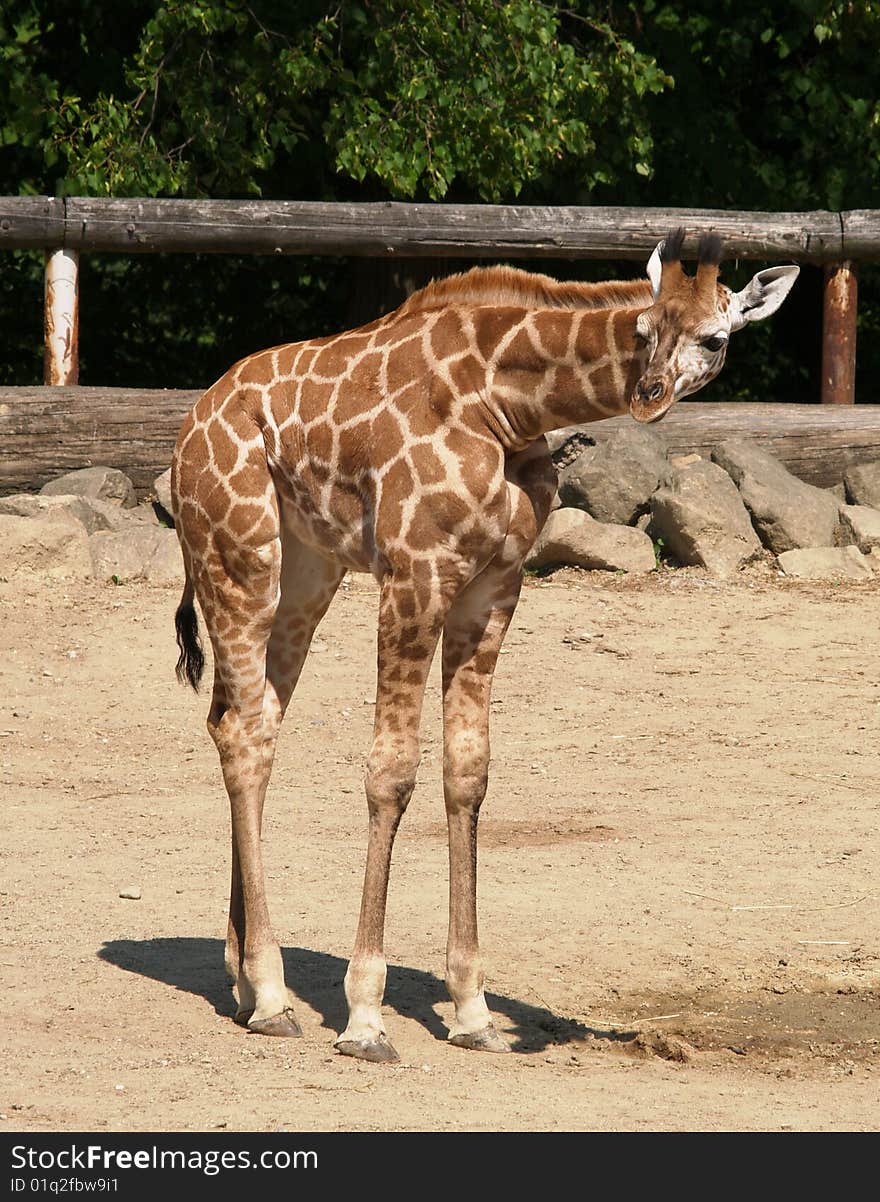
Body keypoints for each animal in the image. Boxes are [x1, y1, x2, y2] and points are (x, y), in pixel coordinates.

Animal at [170, 231, 798, 1062]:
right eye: (642, 329)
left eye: (716, 337)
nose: (650, 393)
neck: (509, 405)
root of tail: (190, 425)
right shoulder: (415, 572)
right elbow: (391, 774)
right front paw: (365, 1018)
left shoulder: (494, 588)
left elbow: (468, 772)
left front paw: (472, 1010)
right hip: (242, 557)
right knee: (243, 733)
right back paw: (272, 995)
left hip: (306, 569)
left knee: (247, 724)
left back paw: (244, 982)